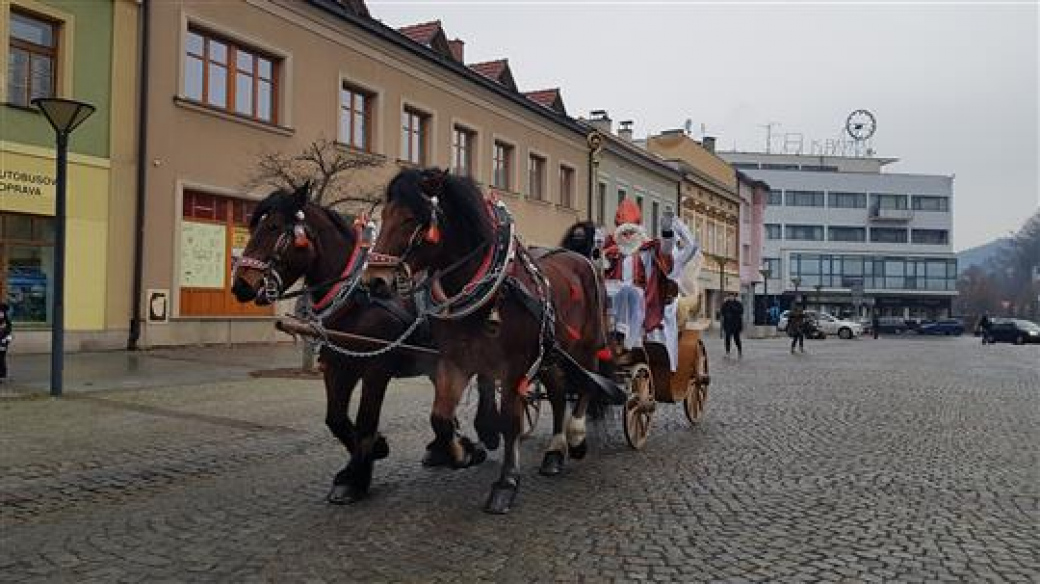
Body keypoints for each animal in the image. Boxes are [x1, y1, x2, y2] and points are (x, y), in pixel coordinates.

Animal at [232, 183, 499, 502]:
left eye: (273, 227)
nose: (240, 285)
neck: (356, 300)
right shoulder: (337, 366)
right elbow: (336, 419)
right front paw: (370, 454)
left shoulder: (376, 370)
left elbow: (366, 421)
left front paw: (357, 476)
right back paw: (446, 447)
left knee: (486, 383)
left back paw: (486, 432)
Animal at [366, 166, 624, 511]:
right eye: (384, 215)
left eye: (411, 219)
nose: (374, 281)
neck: (490, 290)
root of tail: (583, 260)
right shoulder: (456, 361)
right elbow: (440, 417)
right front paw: (460, 453)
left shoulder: (514, 366)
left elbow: (510, 421)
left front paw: (506, 482)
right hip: (550, 353)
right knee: (558, 394)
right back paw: (555, 452)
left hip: (585, 345)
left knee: (586, 384)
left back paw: (576, 437)